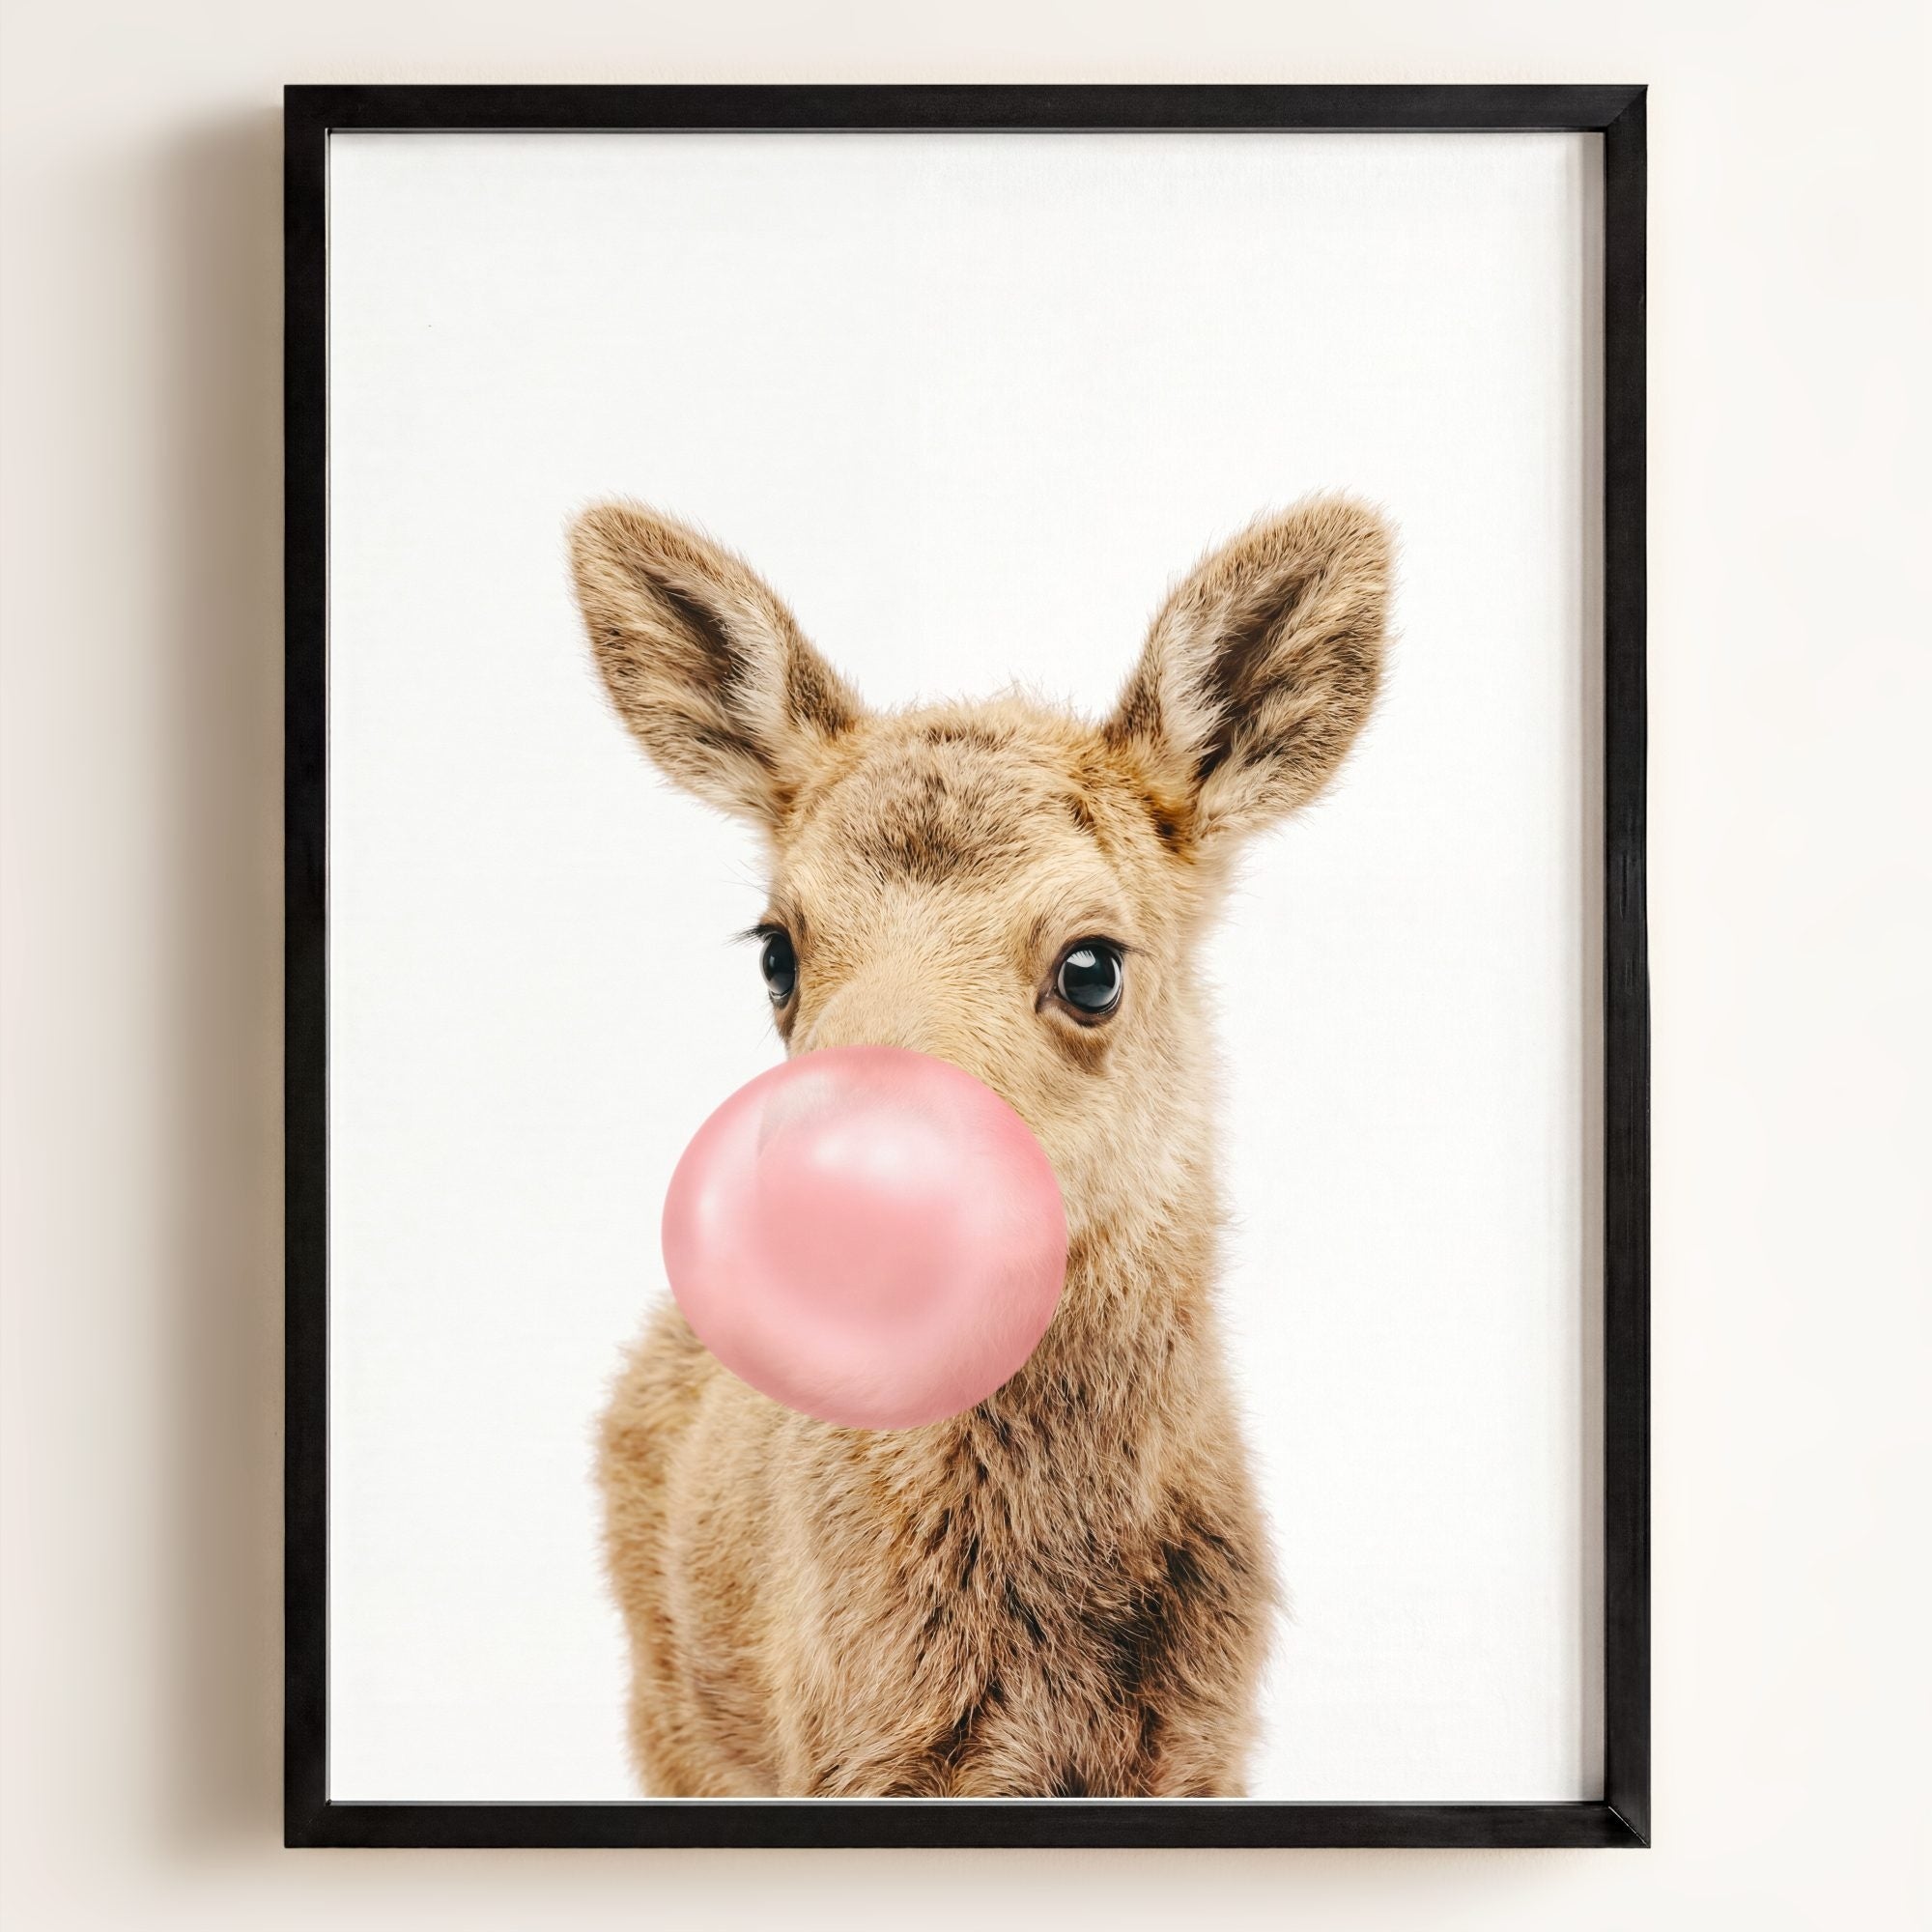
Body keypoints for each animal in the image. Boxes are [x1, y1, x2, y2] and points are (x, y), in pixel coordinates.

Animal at [570, 492, 1392, 1797]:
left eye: (1092, 964)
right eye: (777, 948)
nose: (835, 1189)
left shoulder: (1203, 1746)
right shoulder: (846, 1749)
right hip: (670, 1716)